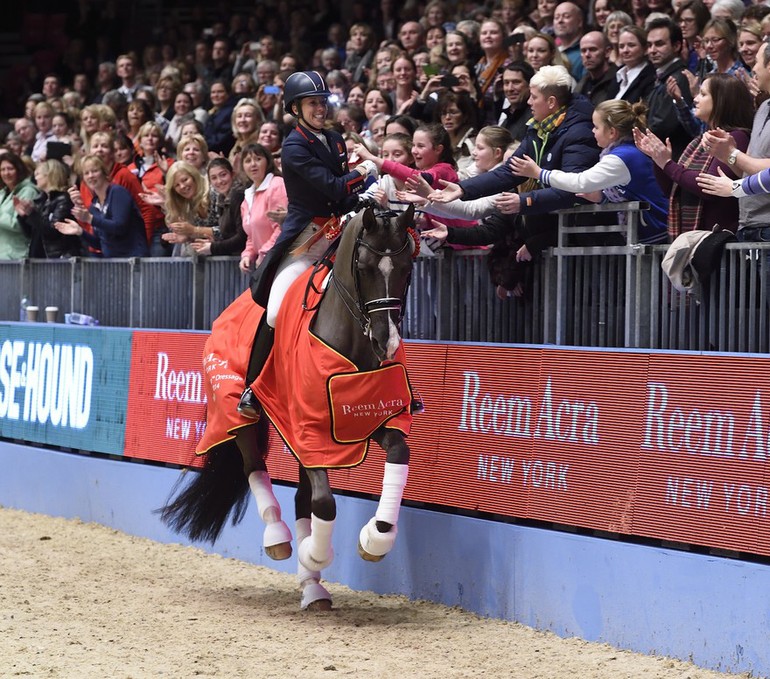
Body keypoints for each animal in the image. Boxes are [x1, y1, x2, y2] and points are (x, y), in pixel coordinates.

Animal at [158, 205, 416, 612]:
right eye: (363, 266)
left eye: (407, 267)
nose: (385, 342)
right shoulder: (310, 431)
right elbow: (324, 504)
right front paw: (313, 552)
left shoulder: (375, 417)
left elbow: (398, 455)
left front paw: (375, 538)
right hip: (236, 415)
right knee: (254, 467)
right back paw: (279, 539)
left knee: (299, 497)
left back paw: (313, 588)